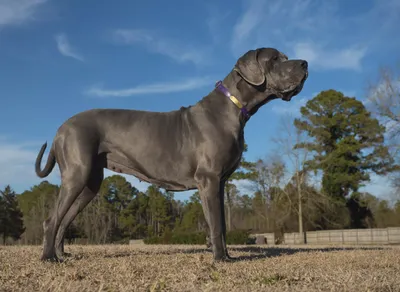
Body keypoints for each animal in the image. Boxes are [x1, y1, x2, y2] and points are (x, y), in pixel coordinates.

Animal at [35, 48, 310, 262]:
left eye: (285, 57)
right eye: (274, 59)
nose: (305, 63)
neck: (233, 106)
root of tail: (61, 128)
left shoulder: (220, 183)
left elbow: (220, 223)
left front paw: (226, 255)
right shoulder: (209, 179)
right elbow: (215, 223)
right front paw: (220, 258)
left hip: (90, 182)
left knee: (64, 220)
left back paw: (61, 254)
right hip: (77, 174)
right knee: (51, 220)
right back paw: (49, 258)